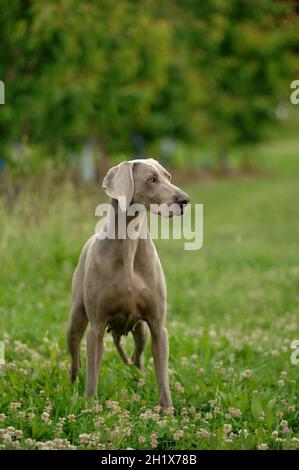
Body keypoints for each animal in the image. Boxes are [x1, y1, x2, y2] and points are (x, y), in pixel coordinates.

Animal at [67, 158, 190, 408]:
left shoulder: (157, 325)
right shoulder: (96, 326)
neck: (129, 244)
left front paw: (167, 410)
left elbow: (162, 375)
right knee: (75, 357)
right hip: (75, 319)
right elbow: (93, 373)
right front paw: (91, 406)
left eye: (168, 177)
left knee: (137, 357)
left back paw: (139, 379)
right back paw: (72, 384)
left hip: (141, 331)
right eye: (151, 179)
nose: (185, 200)